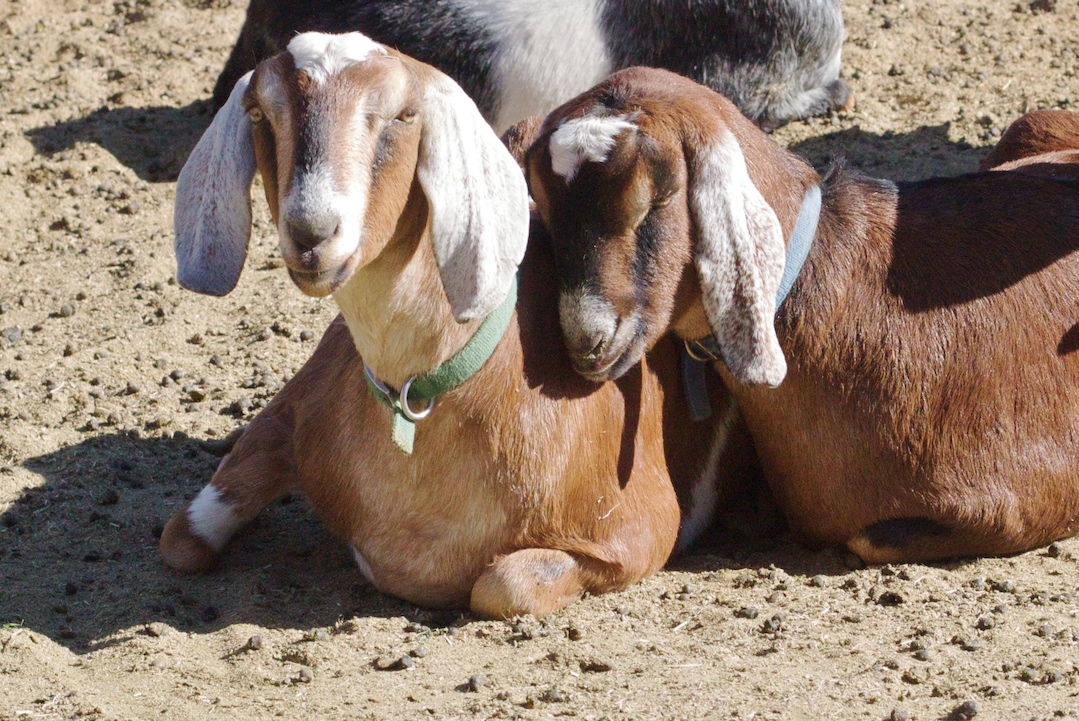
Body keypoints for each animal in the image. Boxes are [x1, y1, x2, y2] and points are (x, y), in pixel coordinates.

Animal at [157, 36, 750, 617]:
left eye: (403, 115)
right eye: (260, 112)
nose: (311, 232)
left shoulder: (638, 529)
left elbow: (501, 585)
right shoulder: (299, 408)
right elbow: (180, 539)